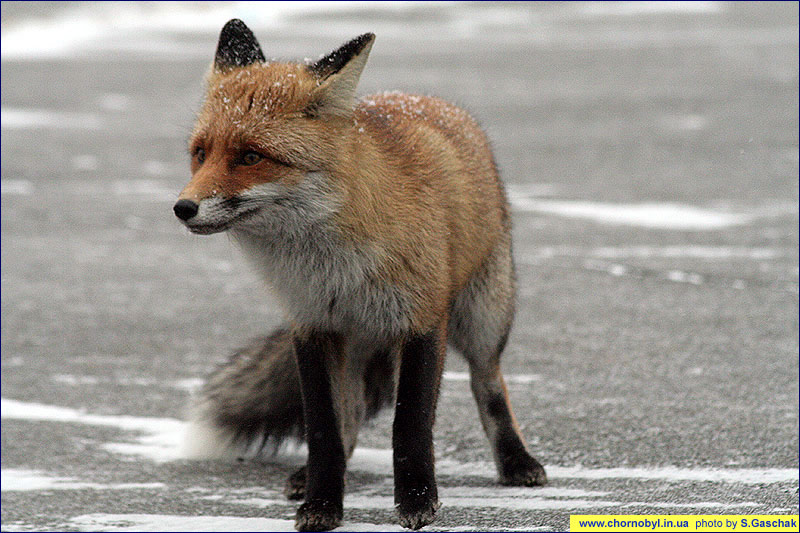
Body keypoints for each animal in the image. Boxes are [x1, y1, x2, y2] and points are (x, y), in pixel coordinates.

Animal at [174, 19, 546, 532]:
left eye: (250, 157)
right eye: (200, 153)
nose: (183, 208)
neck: (337, 270)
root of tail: (428, 99)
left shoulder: (422, 321)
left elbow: (410, 426)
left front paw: (416, 501)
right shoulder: (311, 326)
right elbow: (324, 430)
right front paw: (322, 504)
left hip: (484, 317)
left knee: (488, 385)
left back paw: (515, 461)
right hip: (356, 346)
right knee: (349, 417)